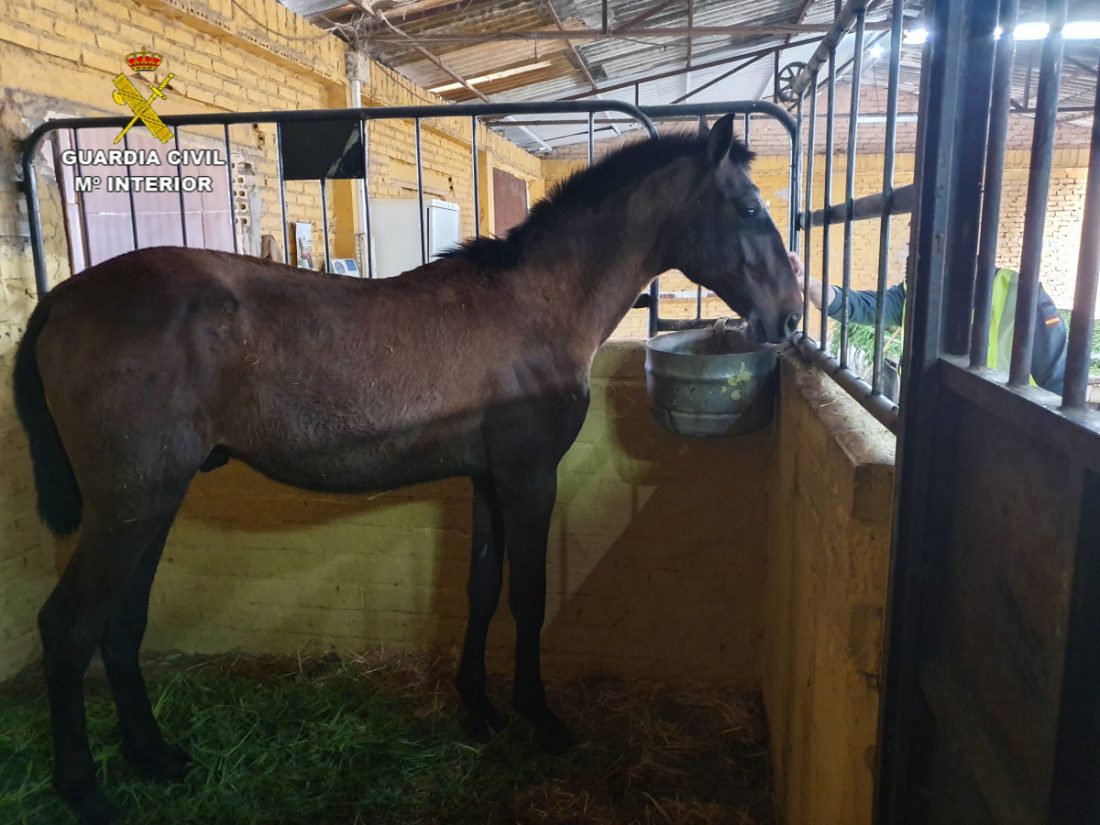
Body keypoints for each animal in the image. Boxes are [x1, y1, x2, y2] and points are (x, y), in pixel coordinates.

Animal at [15, 113, 800, 822]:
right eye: (749, 208)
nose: (789, 318)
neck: (537, 305)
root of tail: (60, 299)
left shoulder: (488, 479)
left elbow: (482, 588)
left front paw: (477, 706)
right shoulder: (529, 478)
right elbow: (529, 596)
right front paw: (539, 717)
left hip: (151, 501)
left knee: (121, 622)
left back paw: (155, 754)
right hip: (129, 506)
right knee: (67, 626)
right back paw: (86, 790)